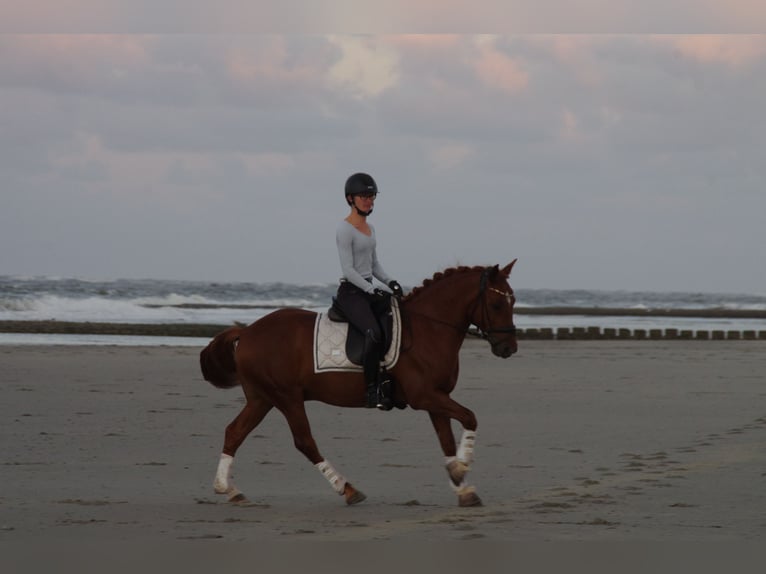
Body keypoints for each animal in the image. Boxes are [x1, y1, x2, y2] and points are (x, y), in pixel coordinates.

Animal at [200, 260, 518, 507]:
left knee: (234, 432)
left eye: (513, 301)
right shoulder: (424, 396)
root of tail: (248, 332)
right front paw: (461, 469)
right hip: (287, 397)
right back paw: (348, 489)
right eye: (496, 304)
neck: (429, 328)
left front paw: (462, 486)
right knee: (304, 441)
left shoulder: (437, 397)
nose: (509, 348)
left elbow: (447, 439)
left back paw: (229, 489)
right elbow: (470, 417)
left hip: (262, 398)